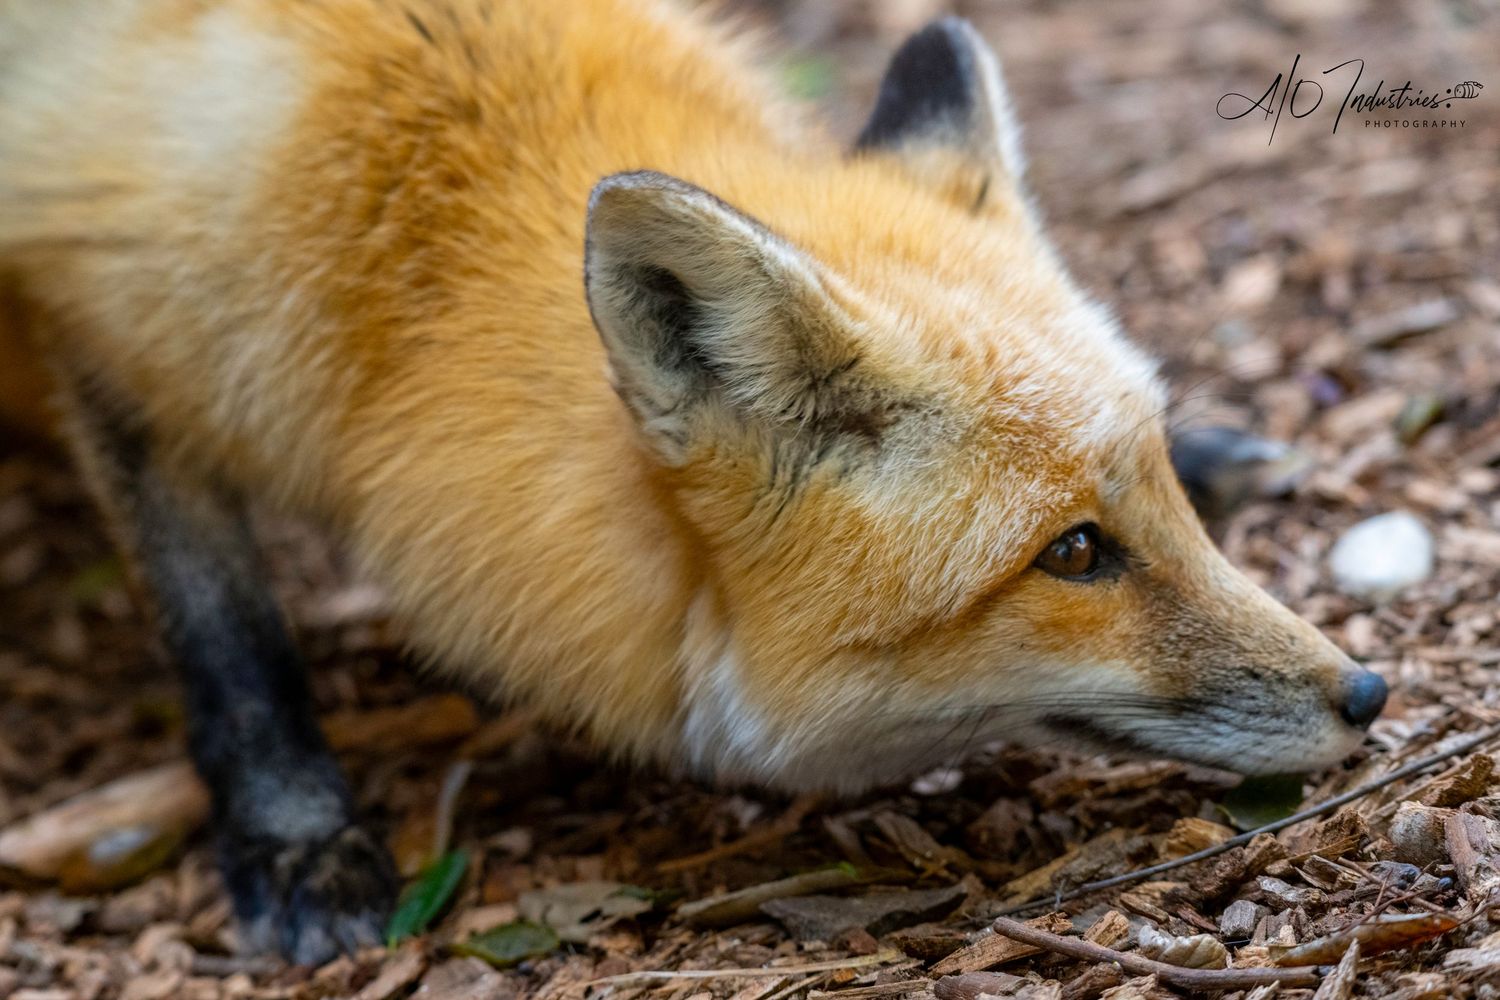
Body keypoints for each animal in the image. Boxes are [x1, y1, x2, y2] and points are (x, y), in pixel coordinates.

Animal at [0, 0, 1387, 966]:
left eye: (1158, 509)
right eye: (1075, 554)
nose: (1368, 693)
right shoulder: (118, 342)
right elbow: (226, 634)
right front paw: (297, 835)